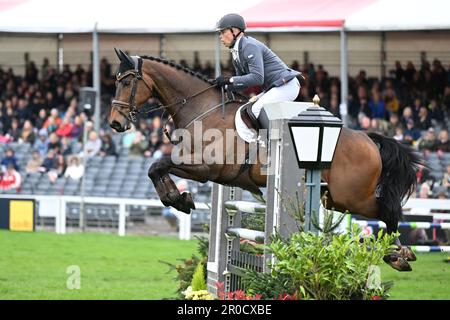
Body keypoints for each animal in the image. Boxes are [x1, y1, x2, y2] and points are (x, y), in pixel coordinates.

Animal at [108, 48, 422, 272]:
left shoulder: (205, 167)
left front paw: (178, 199)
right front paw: (178, 199)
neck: (202, 110)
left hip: (351, 196)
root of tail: (367, 139)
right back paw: (396, 254)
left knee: (388, 211)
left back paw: (399, 254)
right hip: (333, 197)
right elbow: (156, 169)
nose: (114, 123)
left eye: (127, 82)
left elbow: (157, 164)